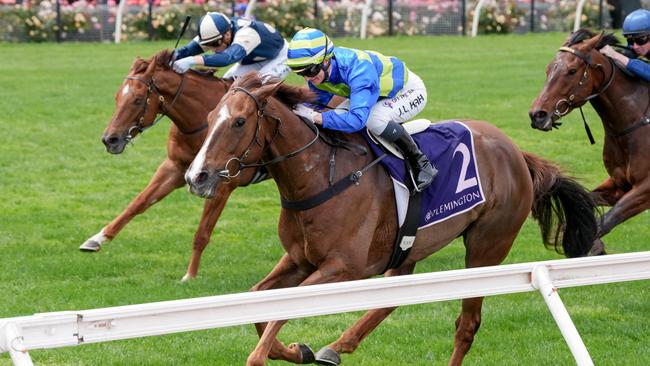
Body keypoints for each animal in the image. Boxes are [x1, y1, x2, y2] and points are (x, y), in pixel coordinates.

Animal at [78, 50, 256, 280]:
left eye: (137, 99)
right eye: (117, 96)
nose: (110, 139)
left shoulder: (222, 184)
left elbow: (202, 232)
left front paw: (190, 275)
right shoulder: (175, 168)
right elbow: (139, 202)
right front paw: (97, 238)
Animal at [184, 73, 596, 364]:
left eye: (239, 122)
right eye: (209, 117)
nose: (195, 176)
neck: (320, 175)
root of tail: (516, 152)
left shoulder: (344, 267)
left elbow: (273, 325)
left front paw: (270, 354)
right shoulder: (300, 259)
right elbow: (258, 303)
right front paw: (298, 350)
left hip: (486, 247)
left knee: (467, 325)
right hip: (408, 248)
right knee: (391, 300)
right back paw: (336, 347)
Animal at [528, 30, 644, 249]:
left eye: (572, 71)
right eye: (548, 69)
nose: (537, 115)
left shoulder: (645, 187)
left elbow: (605, 222)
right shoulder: (619, 185)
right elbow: (584, 203)